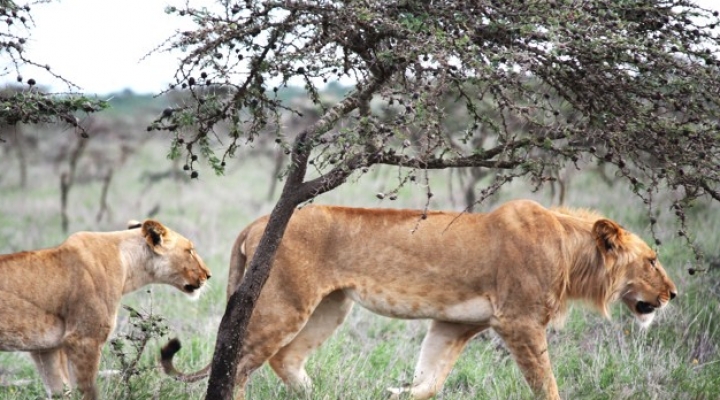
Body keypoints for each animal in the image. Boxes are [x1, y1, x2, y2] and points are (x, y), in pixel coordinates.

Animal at [0, 220, 212, 398]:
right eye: (190, 250)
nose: (208, 274)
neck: (128, 265)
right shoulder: (84, 340)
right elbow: (87, 392)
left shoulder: (45, 348)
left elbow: (60, 391)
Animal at [162, 200, 676, 400]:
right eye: (652, 260)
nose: (673, 294)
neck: (572, 255)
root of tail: (258, 222)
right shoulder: (520, 321)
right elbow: (546, 383)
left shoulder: (455, 324)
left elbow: (430, 377)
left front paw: (396, 393)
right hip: (285, 303)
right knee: (237, 362)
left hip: (332, 306)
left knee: (284, 360)